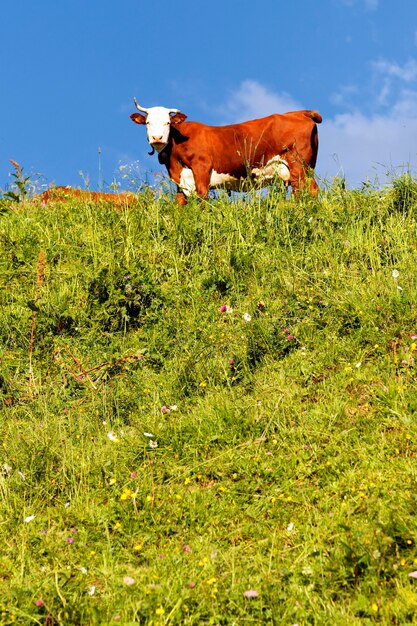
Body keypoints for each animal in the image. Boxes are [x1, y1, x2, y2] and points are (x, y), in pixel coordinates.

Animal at [131, 98, 322, 204]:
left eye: (168, 123)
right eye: (147, 122)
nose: (157, 138)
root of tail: (300, 112)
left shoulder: (202, 168)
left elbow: (202, 197)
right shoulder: (180, 179)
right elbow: (180, 203)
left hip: (297, 165)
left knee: (301, 191)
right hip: (308, 167)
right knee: (313, 189)